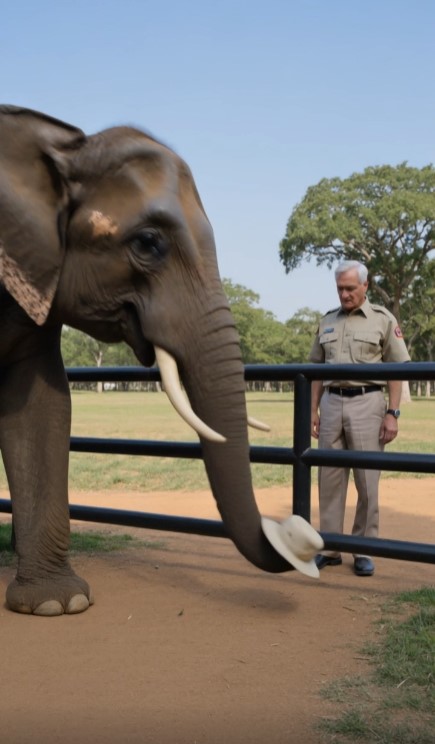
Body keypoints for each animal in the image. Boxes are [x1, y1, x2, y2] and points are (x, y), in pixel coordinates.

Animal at [0, 105, 323, 616]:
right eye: (148, 243)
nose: (298, 531)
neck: (63, 146)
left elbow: (40, 406)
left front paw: (57, 604)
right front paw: (58, 604)